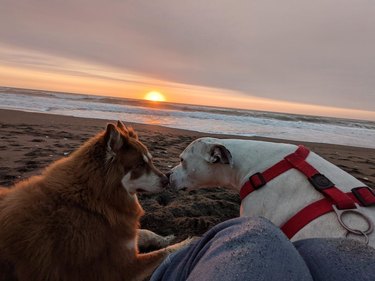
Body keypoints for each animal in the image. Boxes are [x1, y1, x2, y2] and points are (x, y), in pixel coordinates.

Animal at [0, 121, 188, 280]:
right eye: (140, 165)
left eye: (151, 161)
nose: (167, 180)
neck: (96, 199)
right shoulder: (122, 269)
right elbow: (166, 253)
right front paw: (187, 241)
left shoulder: (121, 235)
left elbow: (145, 233)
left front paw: (165, 237)